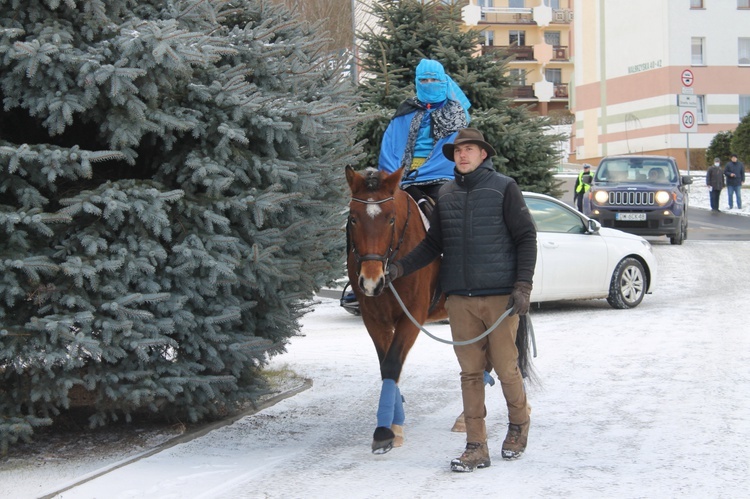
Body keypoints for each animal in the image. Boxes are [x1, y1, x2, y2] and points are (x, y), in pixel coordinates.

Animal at [346, 166, 446, 456]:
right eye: (353, 218)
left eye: (391, 219)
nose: (371, 281)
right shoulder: (374, 318)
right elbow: (386, 364)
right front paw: (394, 423)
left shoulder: (412, 315)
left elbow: (392, 364)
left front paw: (384, 431)